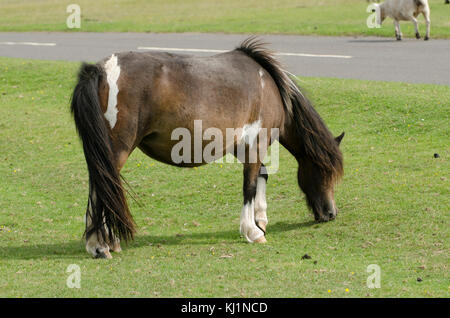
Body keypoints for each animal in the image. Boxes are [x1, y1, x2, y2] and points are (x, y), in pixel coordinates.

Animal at [71, 38, 344, 260]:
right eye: (325, 172)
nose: (331, 213)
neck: (270, 86)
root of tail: (100, 70)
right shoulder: (255, 144)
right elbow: (249, 185)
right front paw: (253, 231)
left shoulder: (241, 146)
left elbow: (262, 176)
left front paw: (260, 220)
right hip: (115, 152)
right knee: (101, 188)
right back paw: (100, 246)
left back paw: (105, 243)